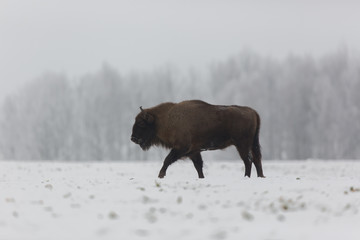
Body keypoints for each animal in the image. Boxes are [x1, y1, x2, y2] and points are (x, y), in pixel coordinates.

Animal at [130, 99, 264, 178]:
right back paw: (260, 176)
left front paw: (160, 175)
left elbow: (167, 160)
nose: (133, 138)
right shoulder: (193, 151)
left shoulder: (181, 148)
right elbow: (198, 166)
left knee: (248, 160)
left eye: (141, 123)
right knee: (256, 159)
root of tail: (253, 112)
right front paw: (202, 178)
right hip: (251, 144)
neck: (166, 119)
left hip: (242, 145)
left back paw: (247, 177)